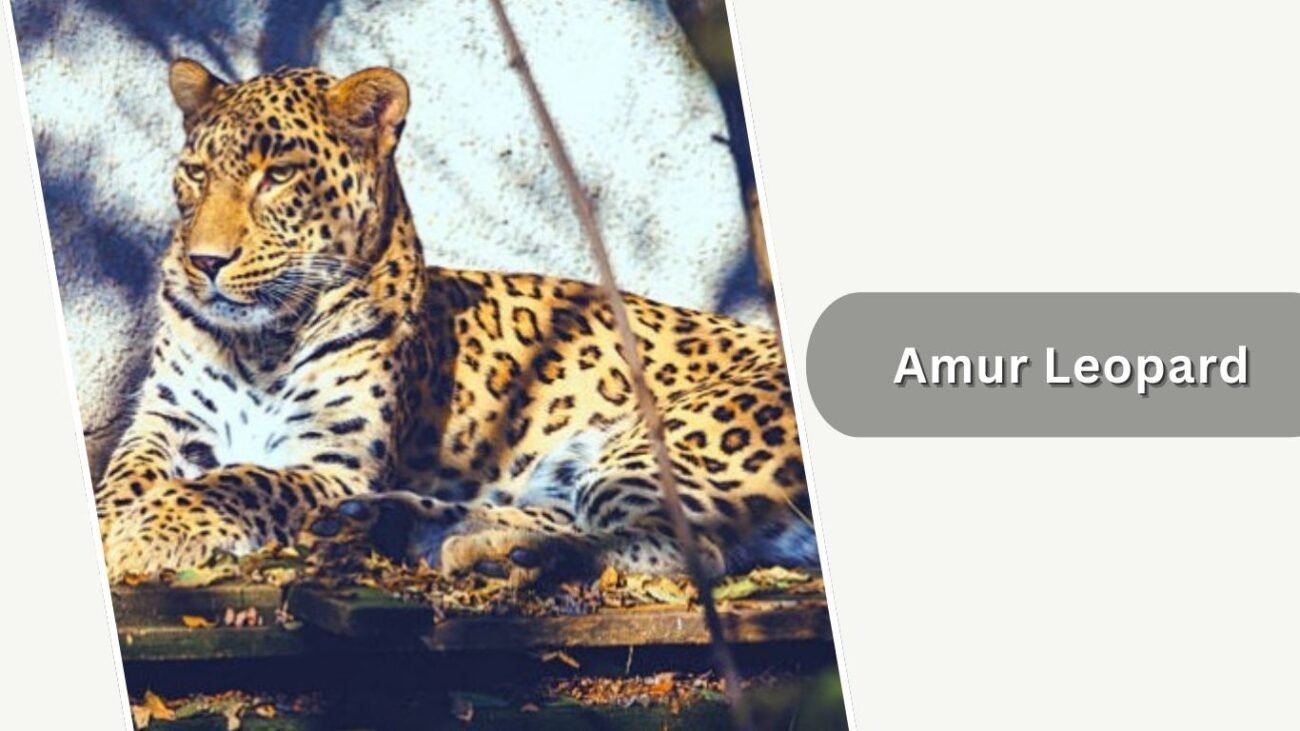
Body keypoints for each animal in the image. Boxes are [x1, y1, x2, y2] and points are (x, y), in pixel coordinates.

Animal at [95, 58, 816, 586]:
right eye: (194, 174)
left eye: (277, 177)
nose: (204, 262)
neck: (263, 342)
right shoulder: (166, 424)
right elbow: (125, 478)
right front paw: (111, 523)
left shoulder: (333, 460)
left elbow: (240, 481)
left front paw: (149, 531)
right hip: (569, 466)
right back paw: (412, 528)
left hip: (657, 443)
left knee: (679, 549)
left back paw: (486, 550)